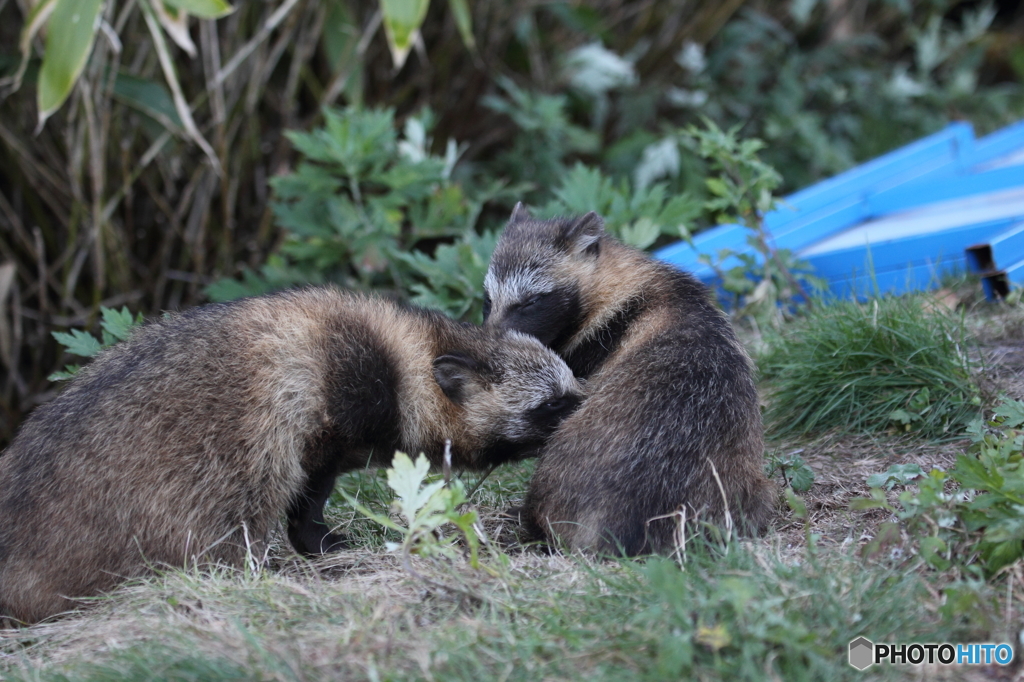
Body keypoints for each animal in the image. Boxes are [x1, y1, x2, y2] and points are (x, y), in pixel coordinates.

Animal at [0, 284, 585, 622]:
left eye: (569, 385)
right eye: (552, 404)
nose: (593, 402)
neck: (406, 356)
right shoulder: (331, 402)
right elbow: (307, 489)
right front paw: (314, 540)